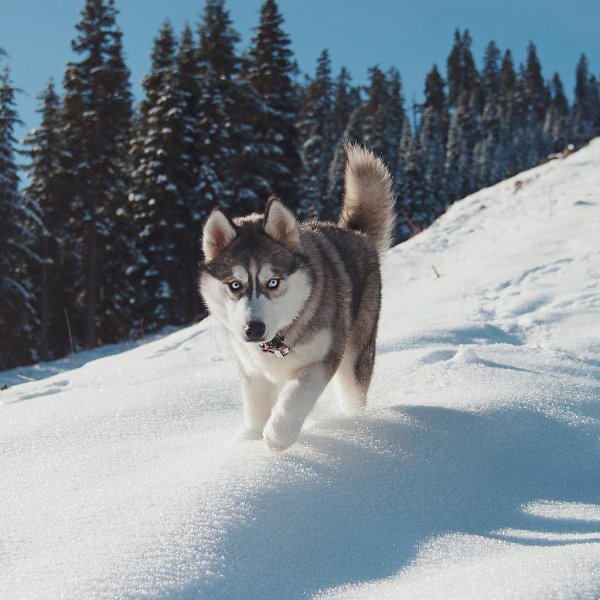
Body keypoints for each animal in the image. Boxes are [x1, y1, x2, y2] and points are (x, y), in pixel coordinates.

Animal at [199, 146, 396, 450]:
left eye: (273, 282)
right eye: (234, 284)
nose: (253, 329)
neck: (278, 340)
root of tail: (355, 233)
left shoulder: (323, 358)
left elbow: (296, 396)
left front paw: (277, 435)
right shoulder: (252, 371)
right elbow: (256, 409)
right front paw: (248, 441)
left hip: (356, 351)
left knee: (353, 391)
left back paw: (356, 424)